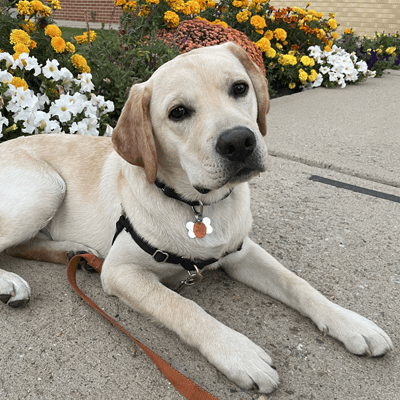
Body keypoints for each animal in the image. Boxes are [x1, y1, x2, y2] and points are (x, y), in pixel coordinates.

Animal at [0, 42, 394, 392]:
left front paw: (349, 322)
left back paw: (70, 251)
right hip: (47, 187)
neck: (198, 206)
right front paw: (238, 352)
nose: (239, 142)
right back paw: (11, 283)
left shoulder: (240, 250)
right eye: (178, 112)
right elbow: (183, 306)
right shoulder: (122, 271)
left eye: (239, 88)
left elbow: (297, 283)